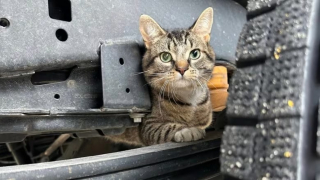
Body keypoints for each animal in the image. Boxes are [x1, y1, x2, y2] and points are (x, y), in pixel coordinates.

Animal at [110, 7, 215, 146]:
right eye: (165, 57)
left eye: (195, 54)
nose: (182, 68)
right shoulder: (148, 125)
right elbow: (166, 128)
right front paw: (188, 130)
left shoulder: (205, 118)